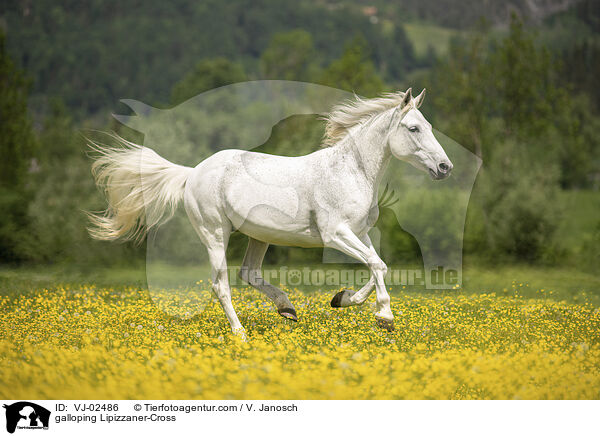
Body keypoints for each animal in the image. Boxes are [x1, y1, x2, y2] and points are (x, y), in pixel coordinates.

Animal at [89, 88, 452, 338]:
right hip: (215, 234)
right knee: (221, 286)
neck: (351, 171)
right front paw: (385, 318)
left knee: (248, 273)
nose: (445, 167)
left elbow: (379, 264)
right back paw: (241, 335)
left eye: (429, 126)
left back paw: (287, 309)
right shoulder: (336, 234)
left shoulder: (359, 232)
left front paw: (343, 299)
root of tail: (193, 172)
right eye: (413, 129)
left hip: (258, 236)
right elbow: (377, 265)